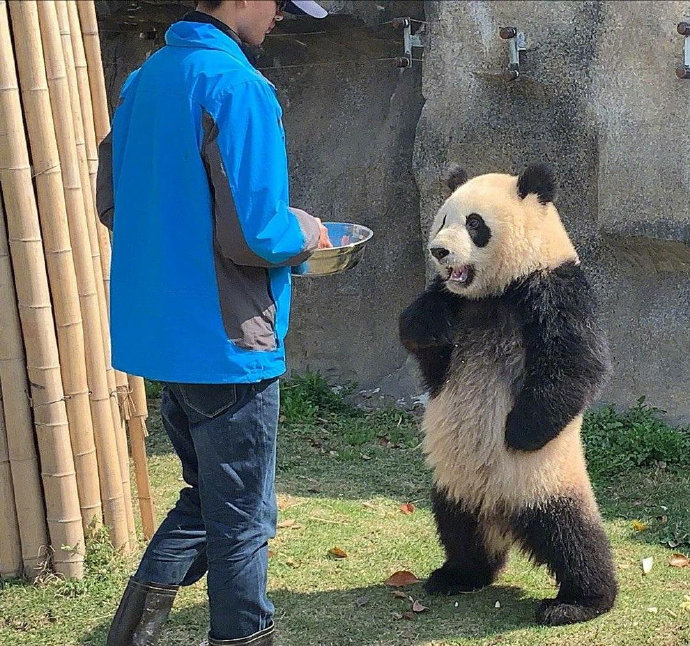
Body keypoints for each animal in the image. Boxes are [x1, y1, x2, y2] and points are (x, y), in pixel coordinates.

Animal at [398, 165, 620, 624]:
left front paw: (519, 431)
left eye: (475, 224)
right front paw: (432, 320)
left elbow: (576, 363)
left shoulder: (554, 286)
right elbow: (429, 353)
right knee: (458, 527)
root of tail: (501, 512)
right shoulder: (458, 305)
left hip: (545, 480)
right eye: (443, 220)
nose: (439, 252)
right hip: (454, 481)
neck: (496, 291)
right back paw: (459, 575)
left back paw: (579, 601)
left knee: (572, 536)